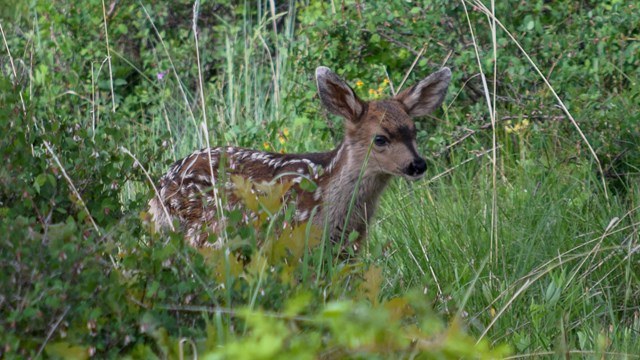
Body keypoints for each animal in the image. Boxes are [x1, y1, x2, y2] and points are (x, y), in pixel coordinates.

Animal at [149, 66, 450, 255]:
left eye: (413, 131)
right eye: (380, 138)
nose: (417, 165)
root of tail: (159, 189)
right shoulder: (292, 236)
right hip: (203, 232)